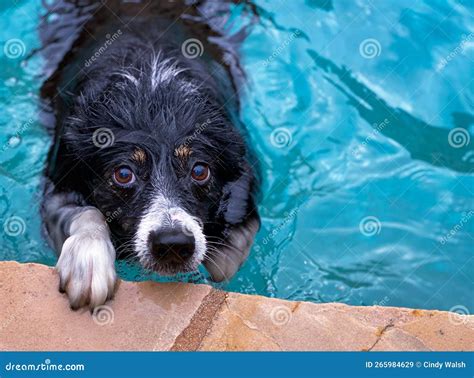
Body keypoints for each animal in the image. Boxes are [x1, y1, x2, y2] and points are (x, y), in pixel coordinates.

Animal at [41, 3, 260, 310]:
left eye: (200, 170)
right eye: (123, 174)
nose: (173, 243)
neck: (152, 98)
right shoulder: (58, 183)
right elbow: (86, 212)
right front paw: (88, 260)